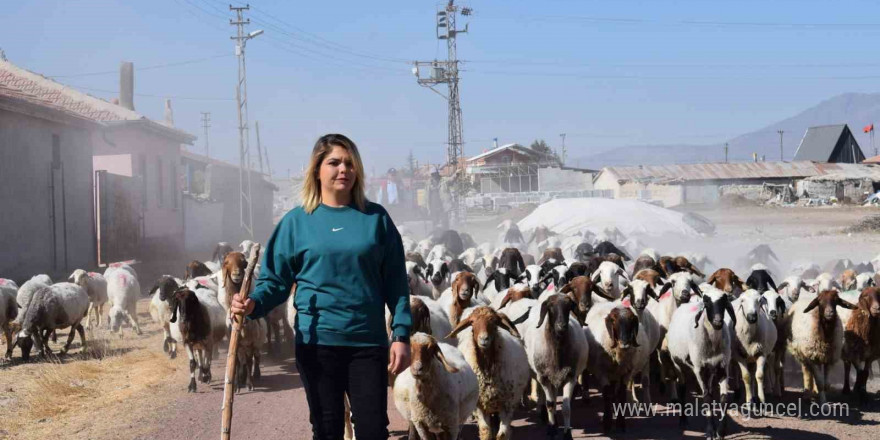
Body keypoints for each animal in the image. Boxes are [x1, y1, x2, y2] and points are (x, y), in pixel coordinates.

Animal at [524, 292, 592, 440]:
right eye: (550, 307)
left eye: (569, 306)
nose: (561, 326)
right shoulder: (544, 378)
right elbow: (550, 405)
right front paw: (551, 430)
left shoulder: (570, 377)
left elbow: (566, 407)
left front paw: (567, 434)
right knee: (550, 400)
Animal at [588, 302, 648, 434]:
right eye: (614, 320)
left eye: (632, 321)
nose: (625, 344)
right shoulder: (602, 372)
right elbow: (606, 395)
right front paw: (607, 423)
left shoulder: (626, 373)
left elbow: (621, 395)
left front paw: (621, 423)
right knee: (610, 393)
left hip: (617, 374)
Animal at [668, 286, 736, 436]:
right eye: (707, 302)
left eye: (724, 302)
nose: (718, 322)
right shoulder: (698, 369)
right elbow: (706, 397)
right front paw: (710, 431)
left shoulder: (723, 367)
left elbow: (723, 398)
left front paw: (721, 431)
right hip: (678, 364)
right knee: (682, 387)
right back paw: (683, 419)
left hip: (710, 370)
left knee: (709, 388)